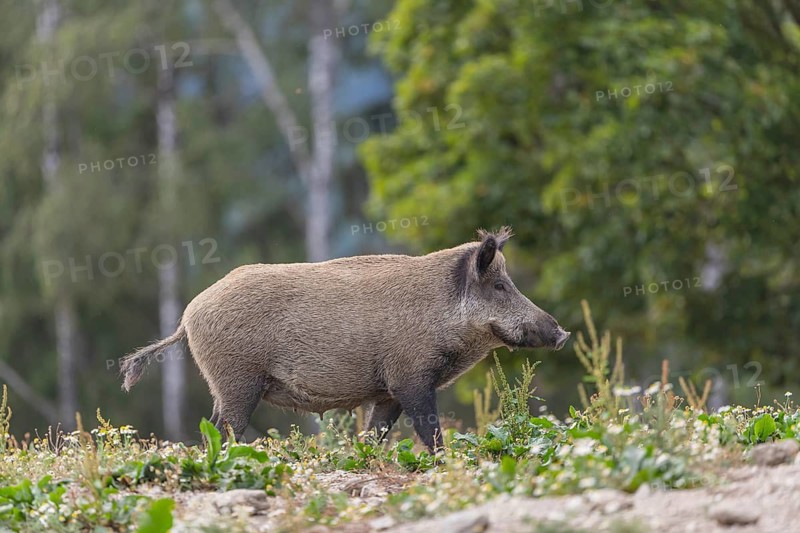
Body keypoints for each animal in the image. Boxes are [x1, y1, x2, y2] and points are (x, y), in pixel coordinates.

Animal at [120, 227, 570, 451]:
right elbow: (430, 430)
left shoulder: (389, 390)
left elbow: (375, 433)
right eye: (500, 286)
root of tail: (189, 315)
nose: (562, 332)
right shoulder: (411, 377)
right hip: (238, 380)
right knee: (221, 429)